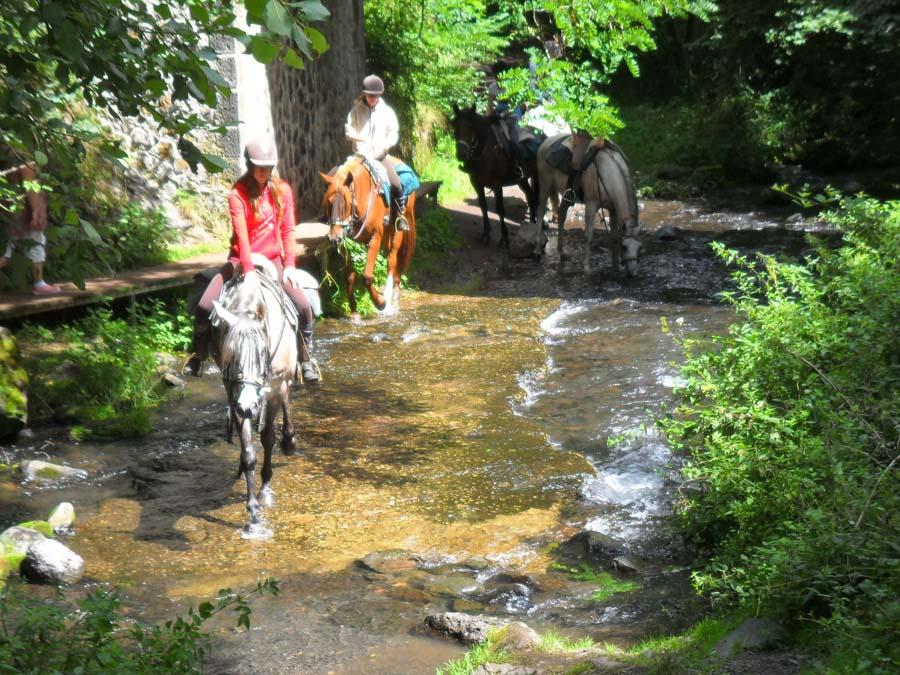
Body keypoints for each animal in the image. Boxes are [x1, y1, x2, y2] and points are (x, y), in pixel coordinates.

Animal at [322, 158, 416, 316]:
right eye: (329, 202)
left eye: (346, 203)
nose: (334, 238)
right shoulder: (347, 244)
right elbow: (349, 277)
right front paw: (354, 311)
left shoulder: (375, 239)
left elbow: (366, 277)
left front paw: (380, 303)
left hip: (397, 232)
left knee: (391, 262)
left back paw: (388, 299)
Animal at [450, 107, 540, 250]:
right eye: (455, 127)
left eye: (472, 127)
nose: (461, 154)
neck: (486, 152)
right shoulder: (476, 184)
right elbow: (483, 206)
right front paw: (486, 235)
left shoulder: (497, 185)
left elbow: (500, 210)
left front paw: (504, 239)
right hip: (522, 180)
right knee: (530, 197)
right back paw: (531, 224)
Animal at [536, 135, 640, 274]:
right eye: (624, 247)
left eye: (639, 247)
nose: (633, 273)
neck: (606, 172)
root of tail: (546, 141)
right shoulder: (591, 205)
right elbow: (588, 236)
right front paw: (586, 267)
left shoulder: (613, 209)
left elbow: (614, 237)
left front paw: (616, 265)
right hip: (545, 185)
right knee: (540, 211)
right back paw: (537, 250)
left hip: (567, 194)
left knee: (561, 215)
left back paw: (562, 252)